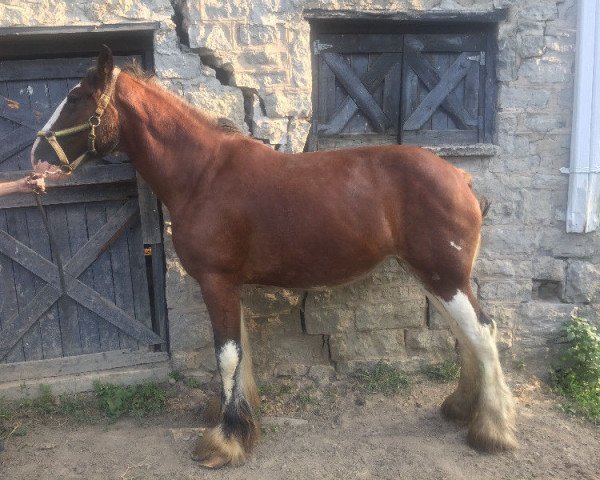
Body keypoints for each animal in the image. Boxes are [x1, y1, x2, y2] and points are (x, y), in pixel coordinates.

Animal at [30, 47, 516, 466]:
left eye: (75, 98)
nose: (36, 153)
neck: (203, 175)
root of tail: (460, 177)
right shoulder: (228, 284)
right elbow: (239, 352)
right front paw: (240, 419)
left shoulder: (217, 282)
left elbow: (227, 355)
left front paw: (225, 441)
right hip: (431, 276)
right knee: (465, 334)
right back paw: (461, 407)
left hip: (445, 277)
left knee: (482, 332)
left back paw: (491, 431)